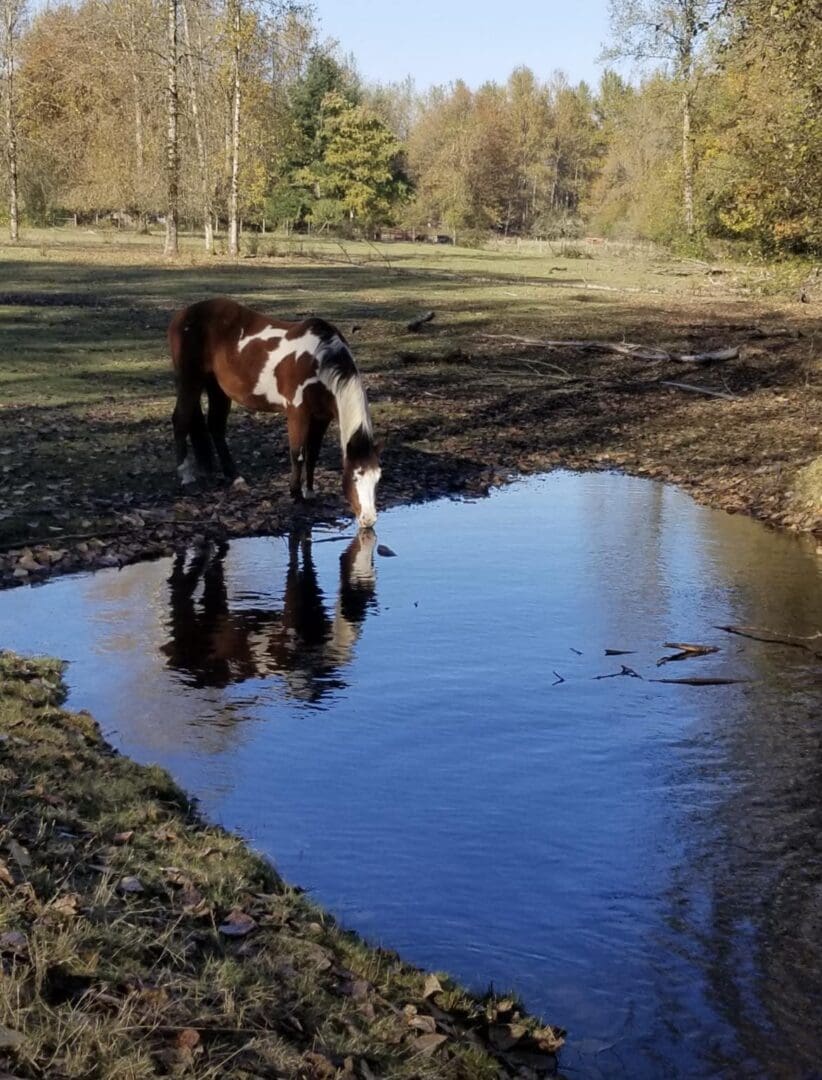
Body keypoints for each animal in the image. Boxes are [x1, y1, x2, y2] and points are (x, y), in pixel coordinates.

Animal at [168, 297, 381, 529]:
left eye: (377, 479)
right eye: (355, 478)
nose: (368, 518)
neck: (319, 359)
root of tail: (183, 314)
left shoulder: (322, 417)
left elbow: (313, 453)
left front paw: (310, 493)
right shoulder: (297, 411)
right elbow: (298, 453)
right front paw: (295, 494)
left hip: (217, 387)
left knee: (215, 426)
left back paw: (234, 477)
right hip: (191, 381)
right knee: (181, 420)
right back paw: (186, 477)